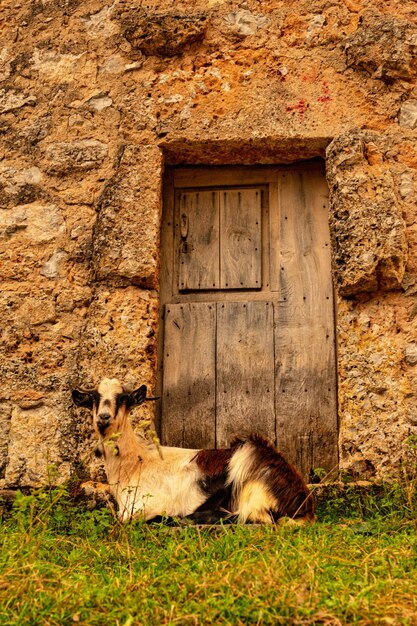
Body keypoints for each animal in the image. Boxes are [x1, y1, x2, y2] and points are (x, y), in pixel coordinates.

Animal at [72, 378, 316, 524]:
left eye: (122, 398)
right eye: (94, 398)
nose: (103, 417)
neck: (134, 462)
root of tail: (303, 501)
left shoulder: (143, 507)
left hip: (248, 457)